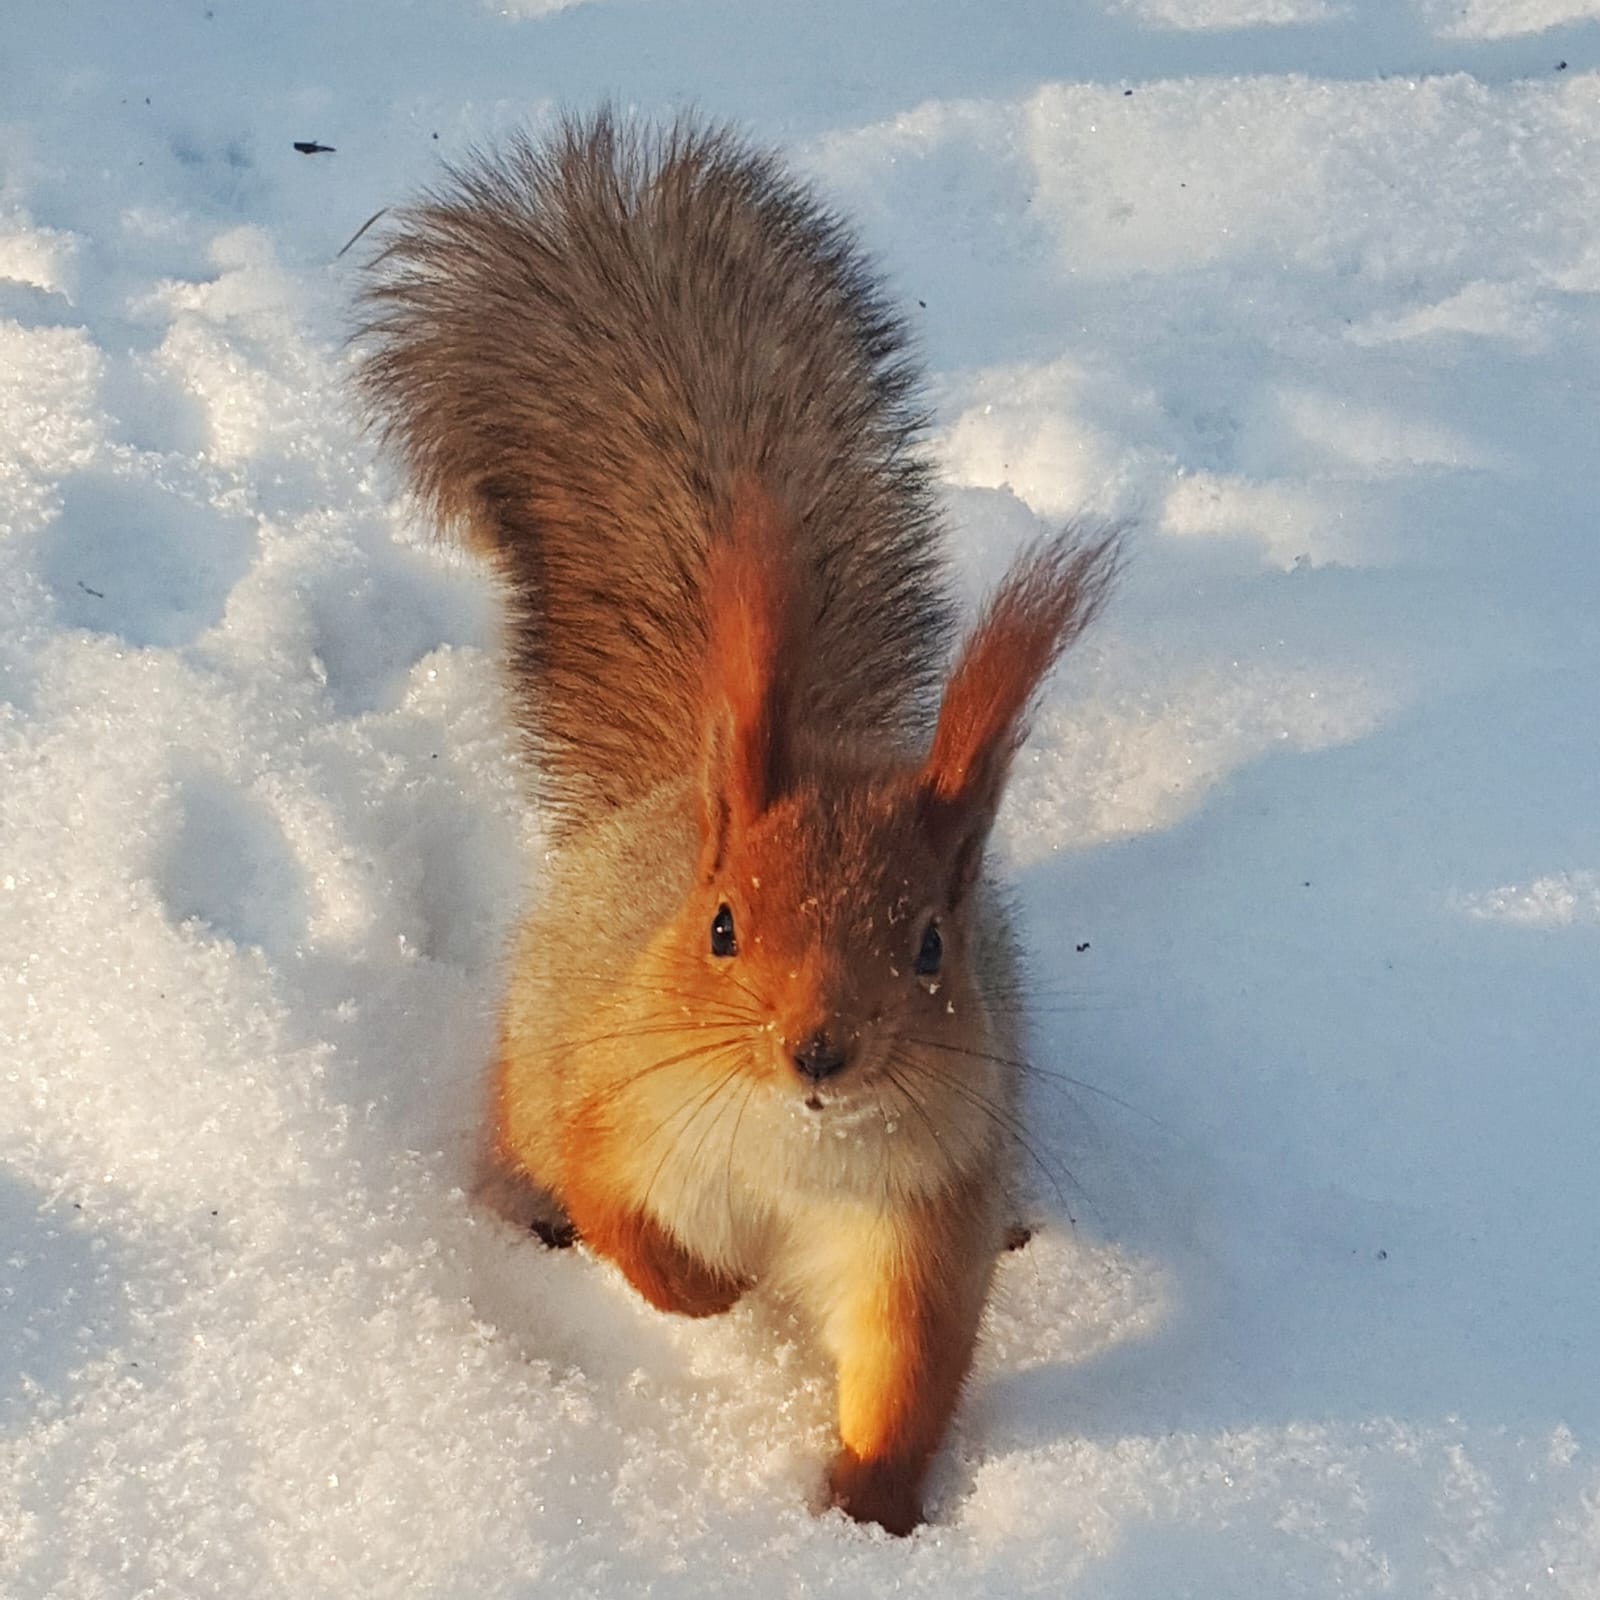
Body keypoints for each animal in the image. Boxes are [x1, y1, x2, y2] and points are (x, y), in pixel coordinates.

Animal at [356, 110, 1117, 1537]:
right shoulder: (619, 1102)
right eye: (718, 927)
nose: (818, 1050)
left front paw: (869, 1510)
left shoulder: (919, 1225)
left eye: (932, 946)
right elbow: (622, 1214)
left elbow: (904, 1373)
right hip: (529, 1059)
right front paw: (707, 1295)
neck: (790, 1158)